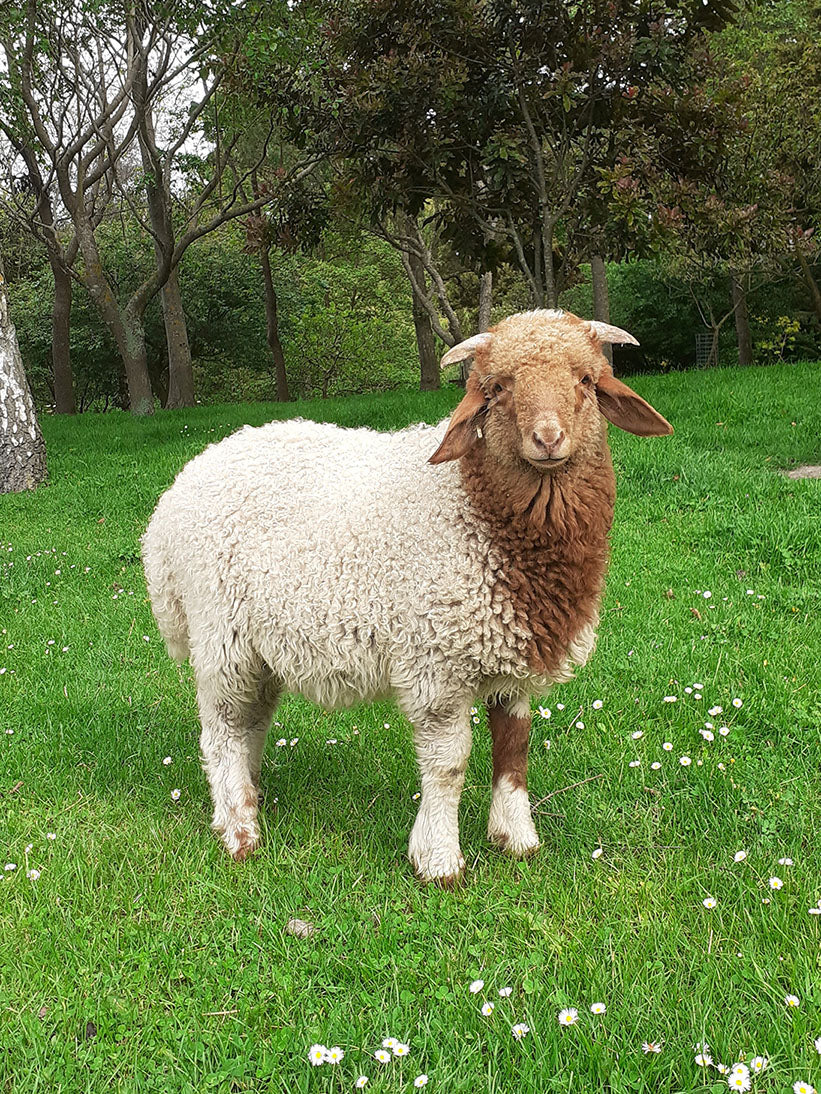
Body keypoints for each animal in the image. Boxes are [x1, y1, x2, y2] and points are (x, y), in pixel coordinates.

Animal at [143, 304, 674, 883]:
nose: (548, 438)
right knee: (220, 730)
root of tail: (170, 504)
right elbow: (448, 765)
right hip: (222, 634)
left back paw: (252, 791)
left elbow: (514, 750)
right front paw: (439, 859)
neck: (475, 508)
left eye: (587, 380)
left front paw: (516, 838)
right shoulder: (437, 661)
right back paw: (239, 828)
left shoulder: (510, 654)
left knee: (250, 723)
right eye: (498, 387)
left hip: (261, 644)